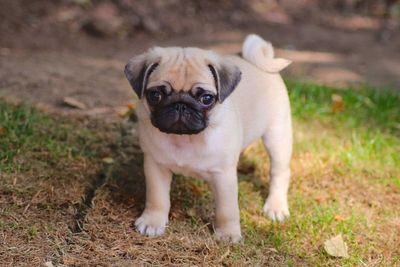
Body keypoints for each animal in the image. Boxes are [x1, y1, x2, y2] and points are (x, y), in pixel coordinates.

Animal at [123, 34, 292, 243]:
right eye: (155, 95)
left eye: (206, 99)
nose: (180, 105)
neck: (185, 139)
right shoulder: (156, 166)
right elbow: (157, 198)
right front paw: (152, 221)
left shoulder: (224, 176)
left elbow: (227, 210)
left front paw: (228, 234)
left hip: (277, 135)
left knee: (279, 172)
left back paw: (276, 206)